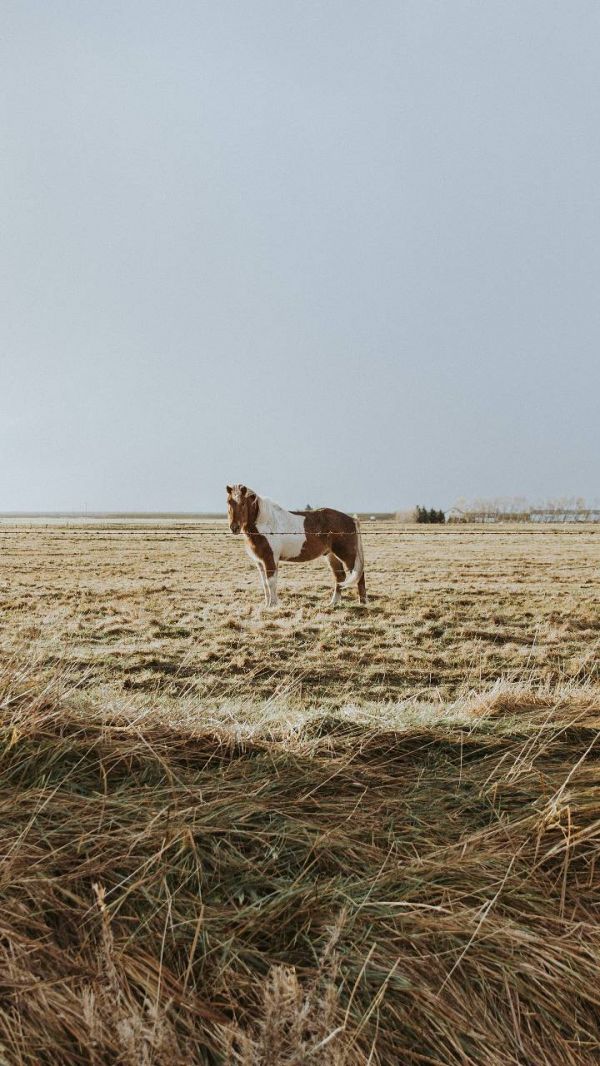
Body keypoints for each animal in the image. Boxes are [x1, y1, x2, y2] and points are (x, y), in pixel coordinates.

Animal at [225, 486, 366, 609]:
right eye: (229, 502)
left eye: (243, 503)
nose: (234, 527)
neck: (265, 523)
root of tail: (351, 520)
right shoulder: (260, 562)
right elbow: (265, 584)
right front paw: (267, 605)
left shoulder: (269, 559)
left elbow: (271, 582)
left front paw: (272, 605)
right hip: (331, 555)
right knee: (340, 577)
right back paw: (333, 603)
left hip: (347, 555)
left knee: (358, 574)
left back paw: (362, 603)